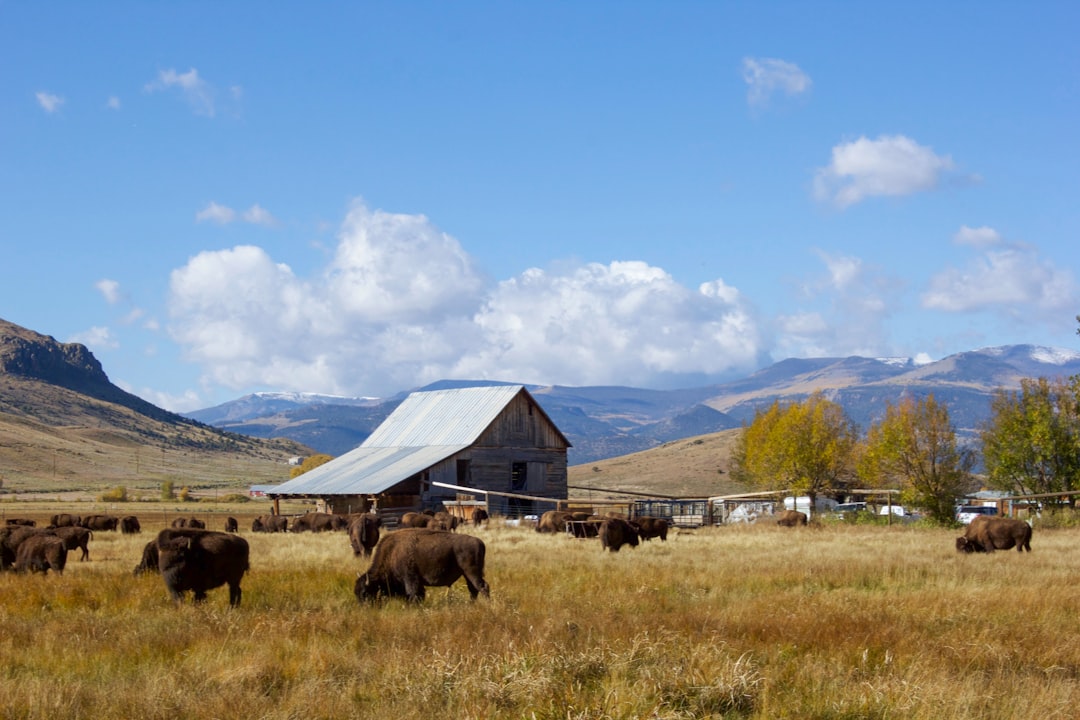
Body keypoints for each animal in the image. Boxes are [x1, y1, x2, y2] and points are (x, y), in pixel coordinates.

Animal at [354, 526, 490, 604]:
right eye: (356, 593)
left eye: (365, 593)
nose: (364, 608)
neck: (392, 552)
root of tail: (479, 542)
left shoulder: (410, 579)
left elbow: (413, 594)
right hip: (467, 574)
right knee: (473, 589)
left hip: (471, 572)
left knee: (482, 587)